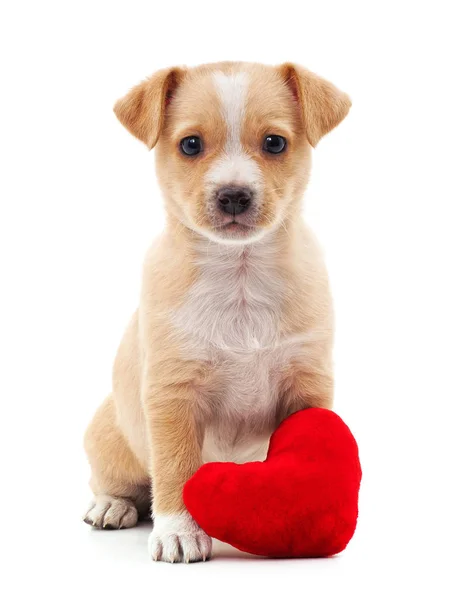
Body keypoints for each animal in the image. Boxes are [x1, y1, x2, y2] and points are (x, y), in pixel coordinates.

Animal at [82, 61, 350, 564]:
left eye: (274, 143)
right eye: (191, 144)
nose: (233, 195)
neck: (240, 277)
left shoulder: (307, 385)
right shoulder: (173, 396)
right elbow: (176, 468)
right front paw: (178, 531)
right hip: (110, 439)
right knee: (118, 482)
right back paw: (112, 505)